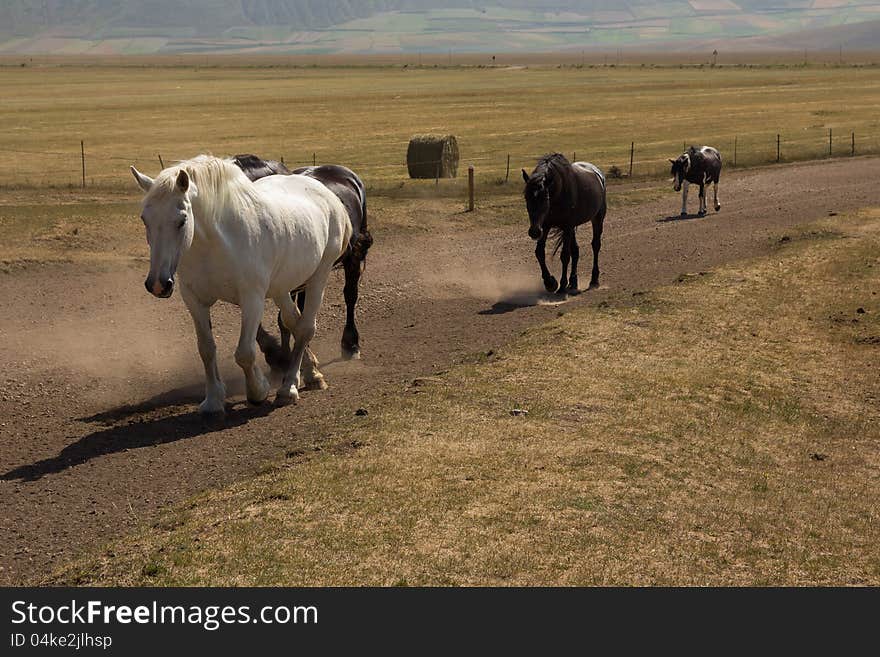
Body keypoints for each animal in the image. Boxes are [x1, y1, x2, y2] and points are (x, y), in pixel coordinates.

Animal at [131, 154, 350, 412]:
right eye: (145, 219)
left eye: (182, 220)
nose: (158, 284)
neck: (214, 245)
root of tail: (327, 194)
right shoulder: (194, 301)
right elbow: (206, 349)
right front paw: (213, 400)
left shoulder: (252, 299)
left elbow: (245, 352)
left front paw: (258, 390)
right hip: (281, 287)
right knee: (294, 322)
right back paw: (309, 373)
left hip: (319, 276)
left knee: (305, 328)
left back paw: (288, 388)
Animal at [524, 154, 604, 292]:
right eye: (526, 198)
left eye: (545, 198)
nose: (534, 232)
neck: (559, 191)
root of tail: (597, 173)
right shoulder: (545, 226)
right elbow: (539, 252)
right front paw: (550, 283)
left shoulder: (566, 226)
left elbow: (565, 255)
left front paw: (562, 285)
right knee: (575, 250)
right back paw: (573, 282)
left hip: (598, 218)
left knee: (595, 245)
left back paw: (594, 280)